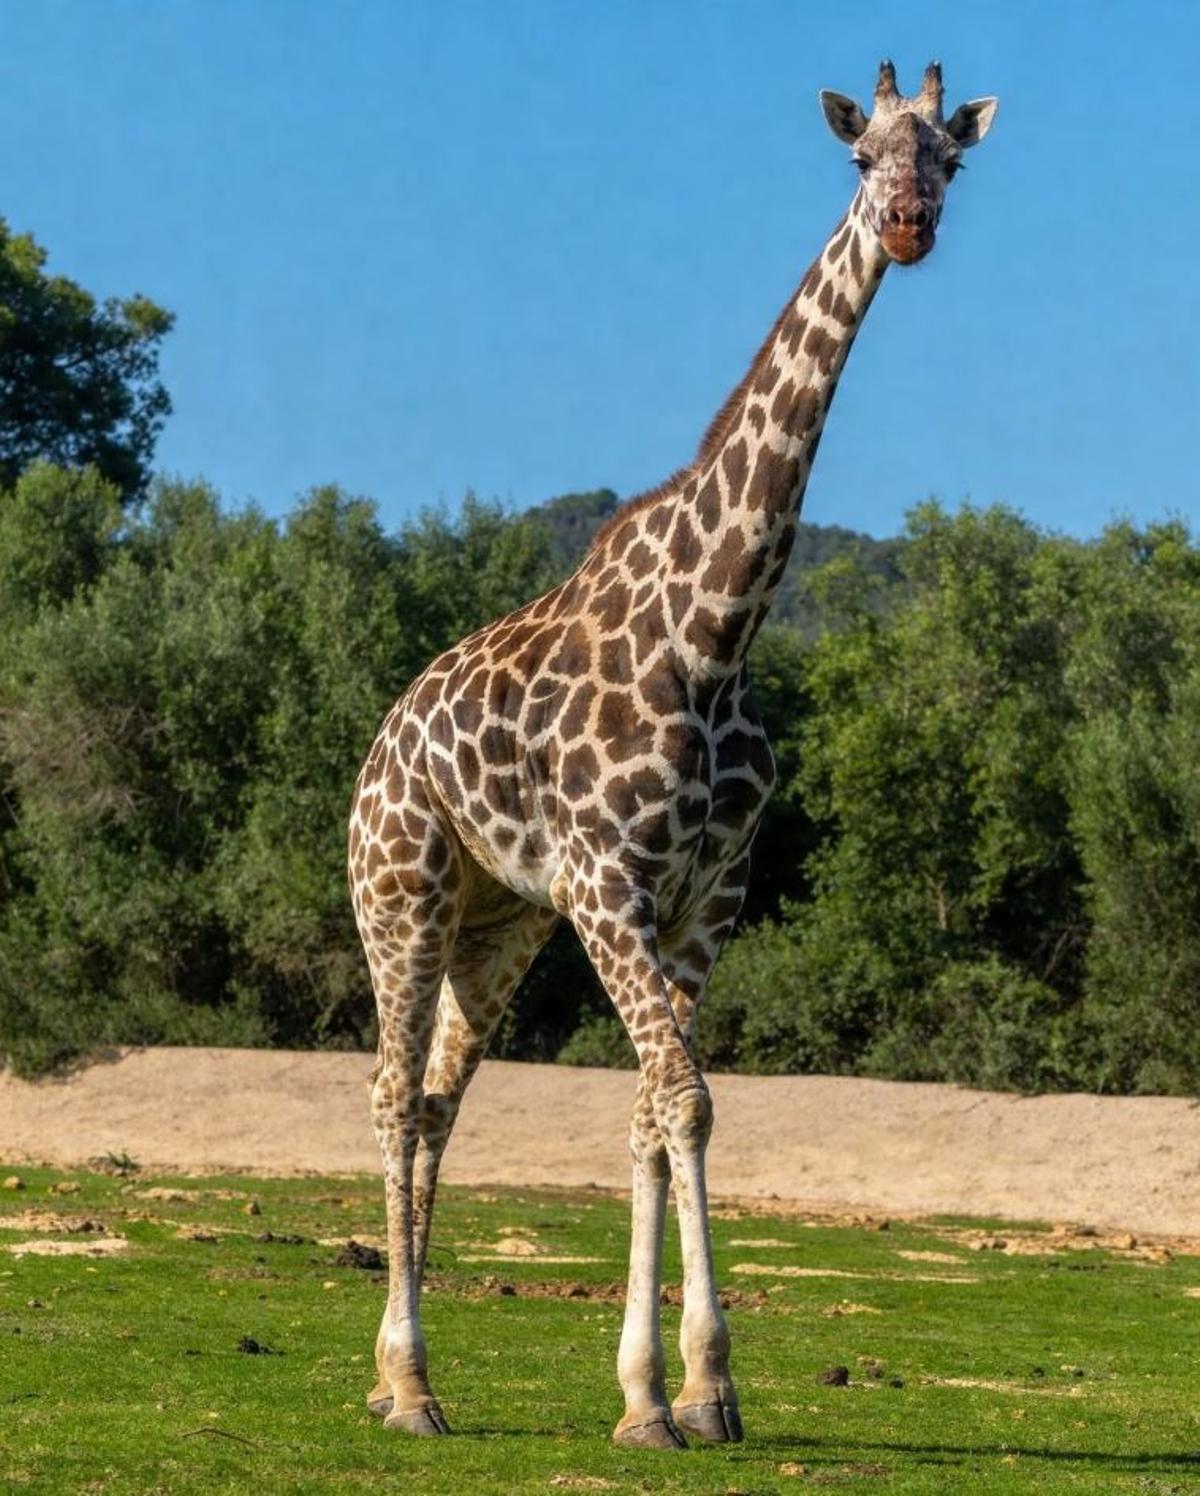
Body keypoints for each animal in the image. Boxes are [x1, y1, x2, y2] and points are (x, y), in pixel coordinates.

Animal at [348, 60, 997, 1448]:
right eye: (860, 154)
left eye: (951, 160)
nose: (909, 223)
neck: (718, 630)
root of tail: (379, 748)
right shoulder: (610, 884)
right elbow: (683, 1096)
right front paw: (680, 1384)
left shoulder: (706, 894)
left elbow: (659, 1105)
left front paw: (678, 1390)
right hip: (403, 894)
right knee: (387, 1093)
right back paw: (414, 1383)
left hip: (498, 925)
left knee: (435, 1101)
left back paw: (390, 1375)